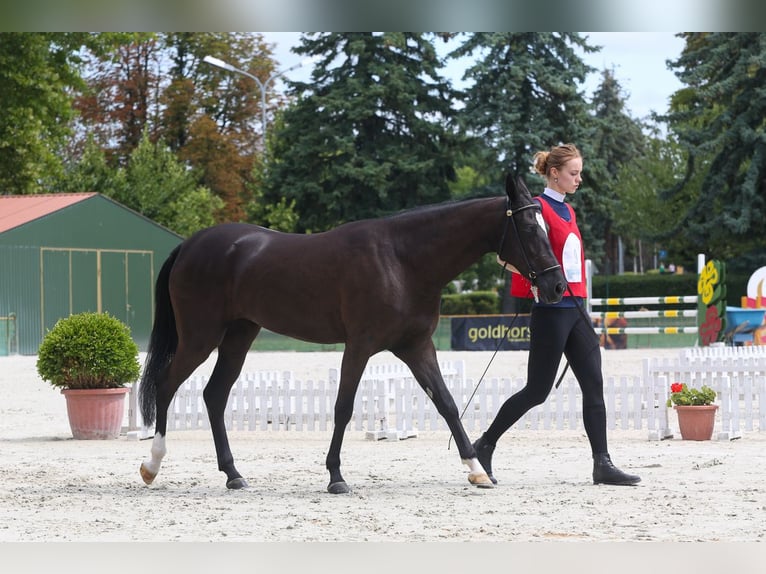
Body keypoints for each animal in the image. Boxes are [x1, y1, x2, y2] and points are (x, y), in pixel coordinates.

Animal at [141, 174, 568, 496]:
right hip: (200, 336)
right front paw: (336, 476)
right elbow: (343, 408)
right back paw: (151, 465)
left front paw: (477, 469)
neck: (402, 260)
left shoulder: (417, 347)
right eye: (529, 228)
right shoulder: (359, 346)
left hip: (238, 337)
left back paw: (234, 475)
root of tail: (190, 245)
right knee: (166, 385)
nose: (557, 287)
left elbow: (447, 403)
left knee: (214, 395)